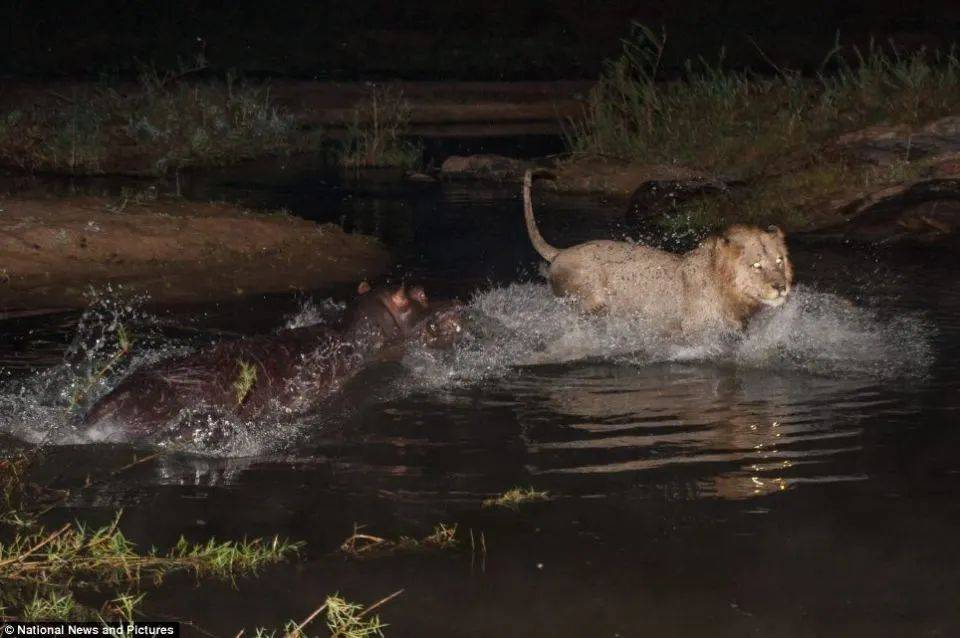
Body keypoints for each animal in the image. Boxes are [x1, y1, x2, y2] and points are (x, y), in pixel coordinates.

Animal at [524, 170, 796, 340]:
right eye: (756, 265)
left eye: (779, 261)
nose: (781, 287)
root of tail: (562, 252)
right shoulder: (693, 332)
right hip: (588, 301)